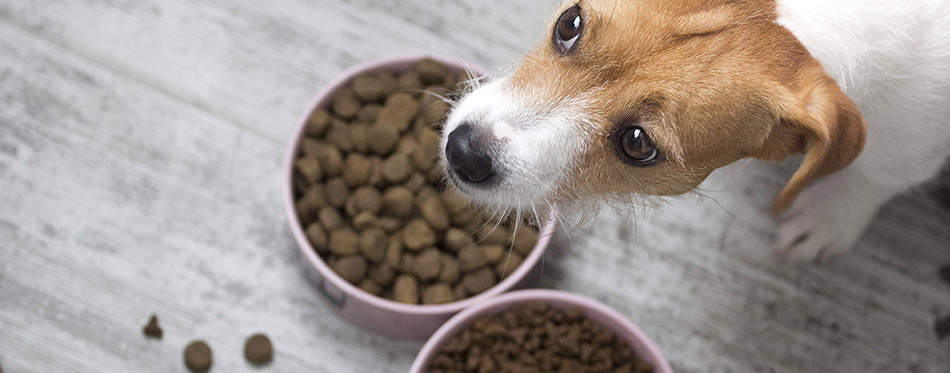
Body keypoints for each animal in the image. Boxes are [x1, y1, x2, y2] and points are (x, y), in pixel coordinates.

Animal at [440, 0, 950, 260]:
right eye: (570, 22)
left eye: (638, 144)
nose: (462, 152)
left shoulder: (910, 143)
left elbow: (874, 176)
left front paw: (826, 221)